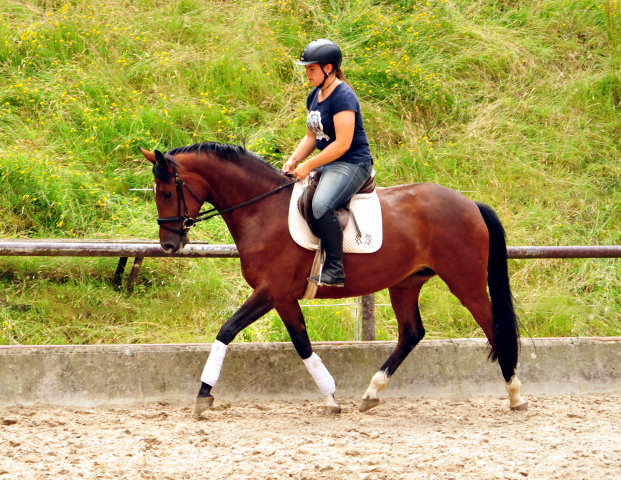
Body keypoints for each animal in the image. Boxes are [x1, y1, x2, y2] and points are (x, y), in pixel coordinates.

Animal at [140, 141, 528, 414]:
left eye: (167, 193)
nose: (169, 244)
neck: (262, 210)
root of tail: (470, 204)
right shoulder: (284, 297)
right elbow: (302, 344)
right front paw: (329, 398)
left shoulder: (270, 292)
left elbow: (226, 331)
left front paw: (203, 394)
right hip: (406, 282)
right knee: (411, 333)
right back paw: (371, 393)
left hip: (465, 282)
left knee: (494, 327)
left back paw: (514, 394)